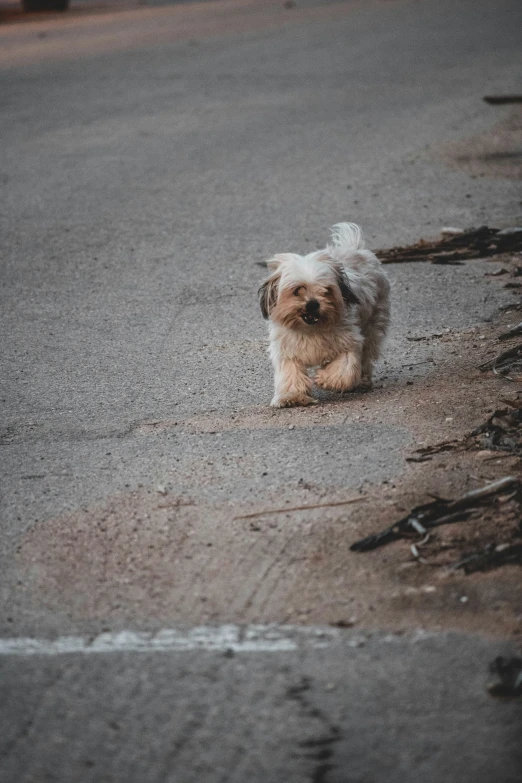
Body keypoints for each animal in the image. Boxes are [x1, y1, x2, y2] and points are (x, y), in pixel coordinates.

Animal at [258, 219, 388, 404]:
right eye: (297, 290)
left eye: (326, 290)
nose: (313, 304)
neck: (311, 329)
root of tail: (354, 248)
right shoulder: (287, 350)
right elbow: (291, 373)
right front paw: (293, 396)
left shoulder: (349, 341)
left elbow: (344, 366)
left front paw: (326, 379)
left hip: (373, 324)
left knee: (366, 355)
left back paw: (362, 381)